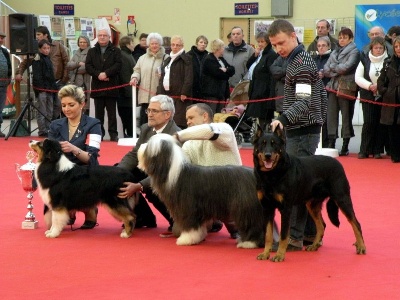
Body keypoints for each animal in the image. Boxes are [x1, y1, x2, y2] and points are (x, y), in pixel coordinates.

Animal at [253, 125, 366, 262]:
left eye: (274, 144)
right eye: (262, 144)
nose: (268, 155)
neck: (271, 175)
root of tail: (338, 163)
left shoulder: (286, 209)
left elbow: (284, 235)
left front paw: (279, 255)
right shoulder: (266, 208)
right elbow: (268, 235)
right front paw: (265, 253)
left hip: (342, 198)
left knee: (356, 223)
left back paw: (361, 246)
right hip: (312, 204)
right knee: (322, 225)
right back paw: (314, 245)